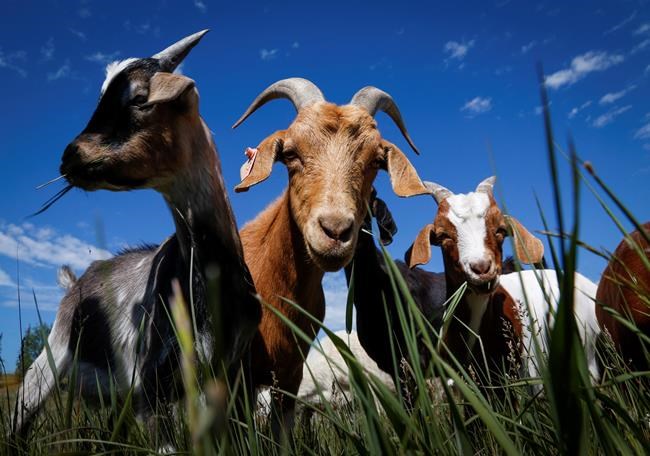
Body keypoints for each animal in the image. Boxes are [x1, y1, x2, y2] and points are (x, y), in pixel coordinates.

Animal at [13, 31, 261, 437]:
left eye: (139, 98)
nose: (68, 157)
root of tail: (75, 282)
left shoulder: (231, 378)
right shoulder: (151, 387)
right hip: (48, 362)